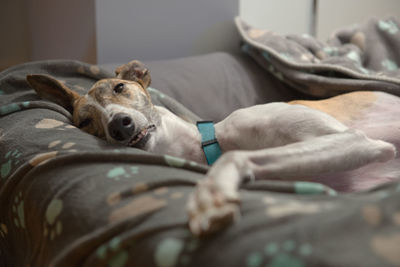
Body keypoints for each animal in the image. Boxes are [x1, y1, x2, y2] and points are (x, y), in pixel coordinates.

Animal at [26, 60, 398, 237]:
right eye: (85, 121)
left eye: (119, 87)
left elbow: (234, 157)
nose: (120, 126)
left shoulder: (354, 139)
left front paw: (210, 199)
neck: (211, 140)